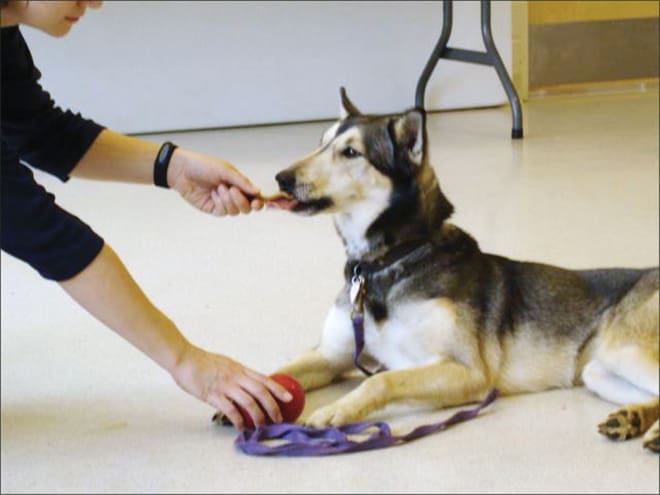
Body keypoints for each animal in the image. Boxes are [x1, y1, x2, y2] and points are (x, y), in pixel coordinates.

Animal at [270, 89, 660, 454]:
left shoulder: (467, 371)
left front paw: (334, 410)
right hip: (599, 371)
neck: (388, 262)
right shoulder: (331, 355)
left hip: (622, 351)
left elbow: (381, 380)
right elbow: (278, 373)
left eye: (351, 152)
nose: (281, 178)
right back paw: (634, 419)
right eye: (321, 143)